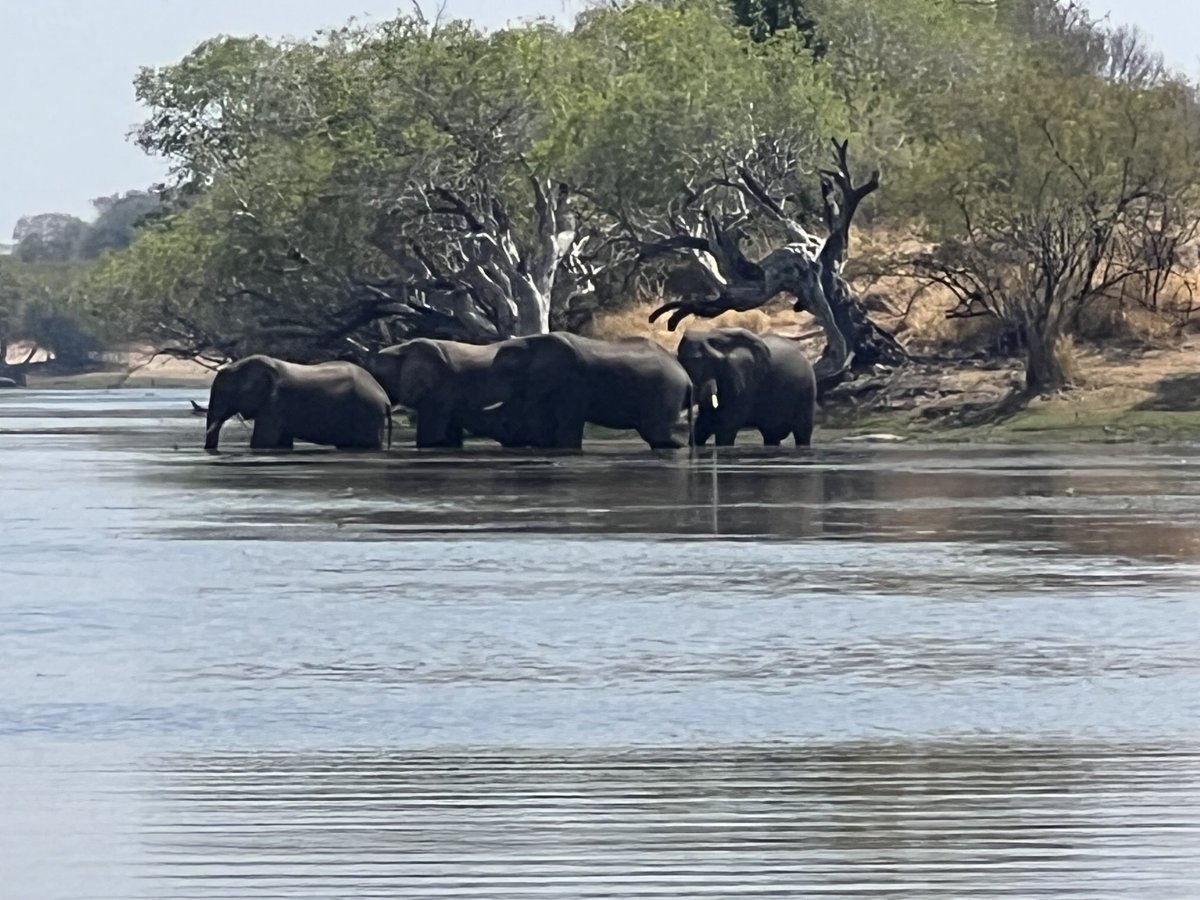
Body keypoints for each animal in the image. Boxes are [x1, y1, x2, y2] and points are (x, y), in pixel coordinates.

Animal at [203, 355, 391, 451]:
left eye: (224, 393)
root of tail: (385, 397)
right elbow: (282, 442)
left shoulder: (274, 403)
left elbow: (263, 441)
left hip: (367, 413)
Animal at [490, 332, 692, 450]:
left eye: (509, 372)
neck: (532, 340)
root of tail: (686, 377)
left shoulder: (573, 383)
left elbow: (568, 430)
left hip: (666, 392)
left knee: (657, 435)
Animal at [676, 328, 816, 447]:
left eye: (703, 361)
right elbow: (701, 426)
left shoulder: (745, 382)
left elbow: (726, 428)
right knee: (771, 435)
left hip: (807, 392)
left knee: (802, 433)